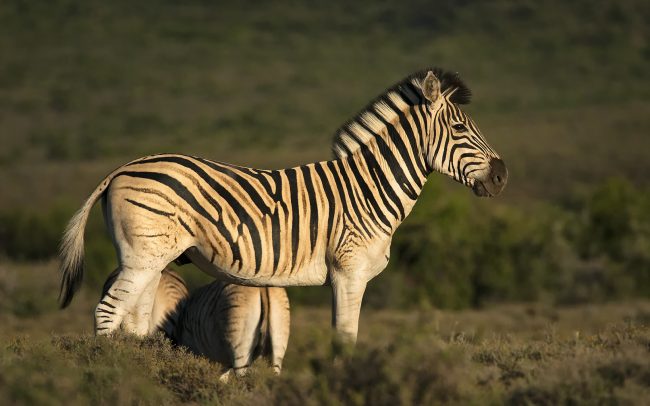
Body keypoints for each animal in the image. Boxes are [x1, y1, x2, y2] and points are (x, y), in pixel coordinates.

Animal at [59, 69, 506, 342]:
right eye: (460, 127)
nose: (502, 176)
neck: (368, 189)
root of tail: (124, 166)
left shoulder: (341, 278)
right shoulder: (350, 273)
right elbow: (346, 338)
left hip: (150, 258)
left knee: (132, 320)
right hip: (142, 257)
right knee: (107, 313)